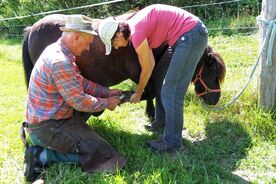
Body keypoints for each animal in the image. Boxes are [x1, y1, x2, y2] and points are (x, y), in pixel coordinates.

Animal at [21, 13, 224, 119]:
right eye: (213, 71)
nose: (215, 100)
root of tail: (32, 28)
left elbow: (148, 92)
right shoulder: (140, 72)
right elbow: (148, 92)